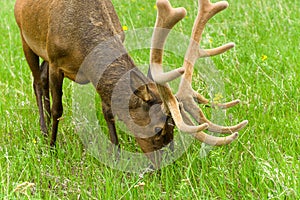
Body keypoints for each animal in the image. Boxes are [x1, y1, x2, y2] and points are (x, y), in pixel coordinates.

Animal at [14, 0, 248, 166]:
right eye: (158, 128)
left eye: (173, 126)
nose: (165, 164)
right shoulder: (55, 61)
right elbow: (58, 108)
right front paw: (52, 148)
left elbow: (108, 110)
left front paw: (116, 153)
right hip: (25, 38)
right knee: (38, 82)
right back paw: (44, 130)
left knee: (41, 78)